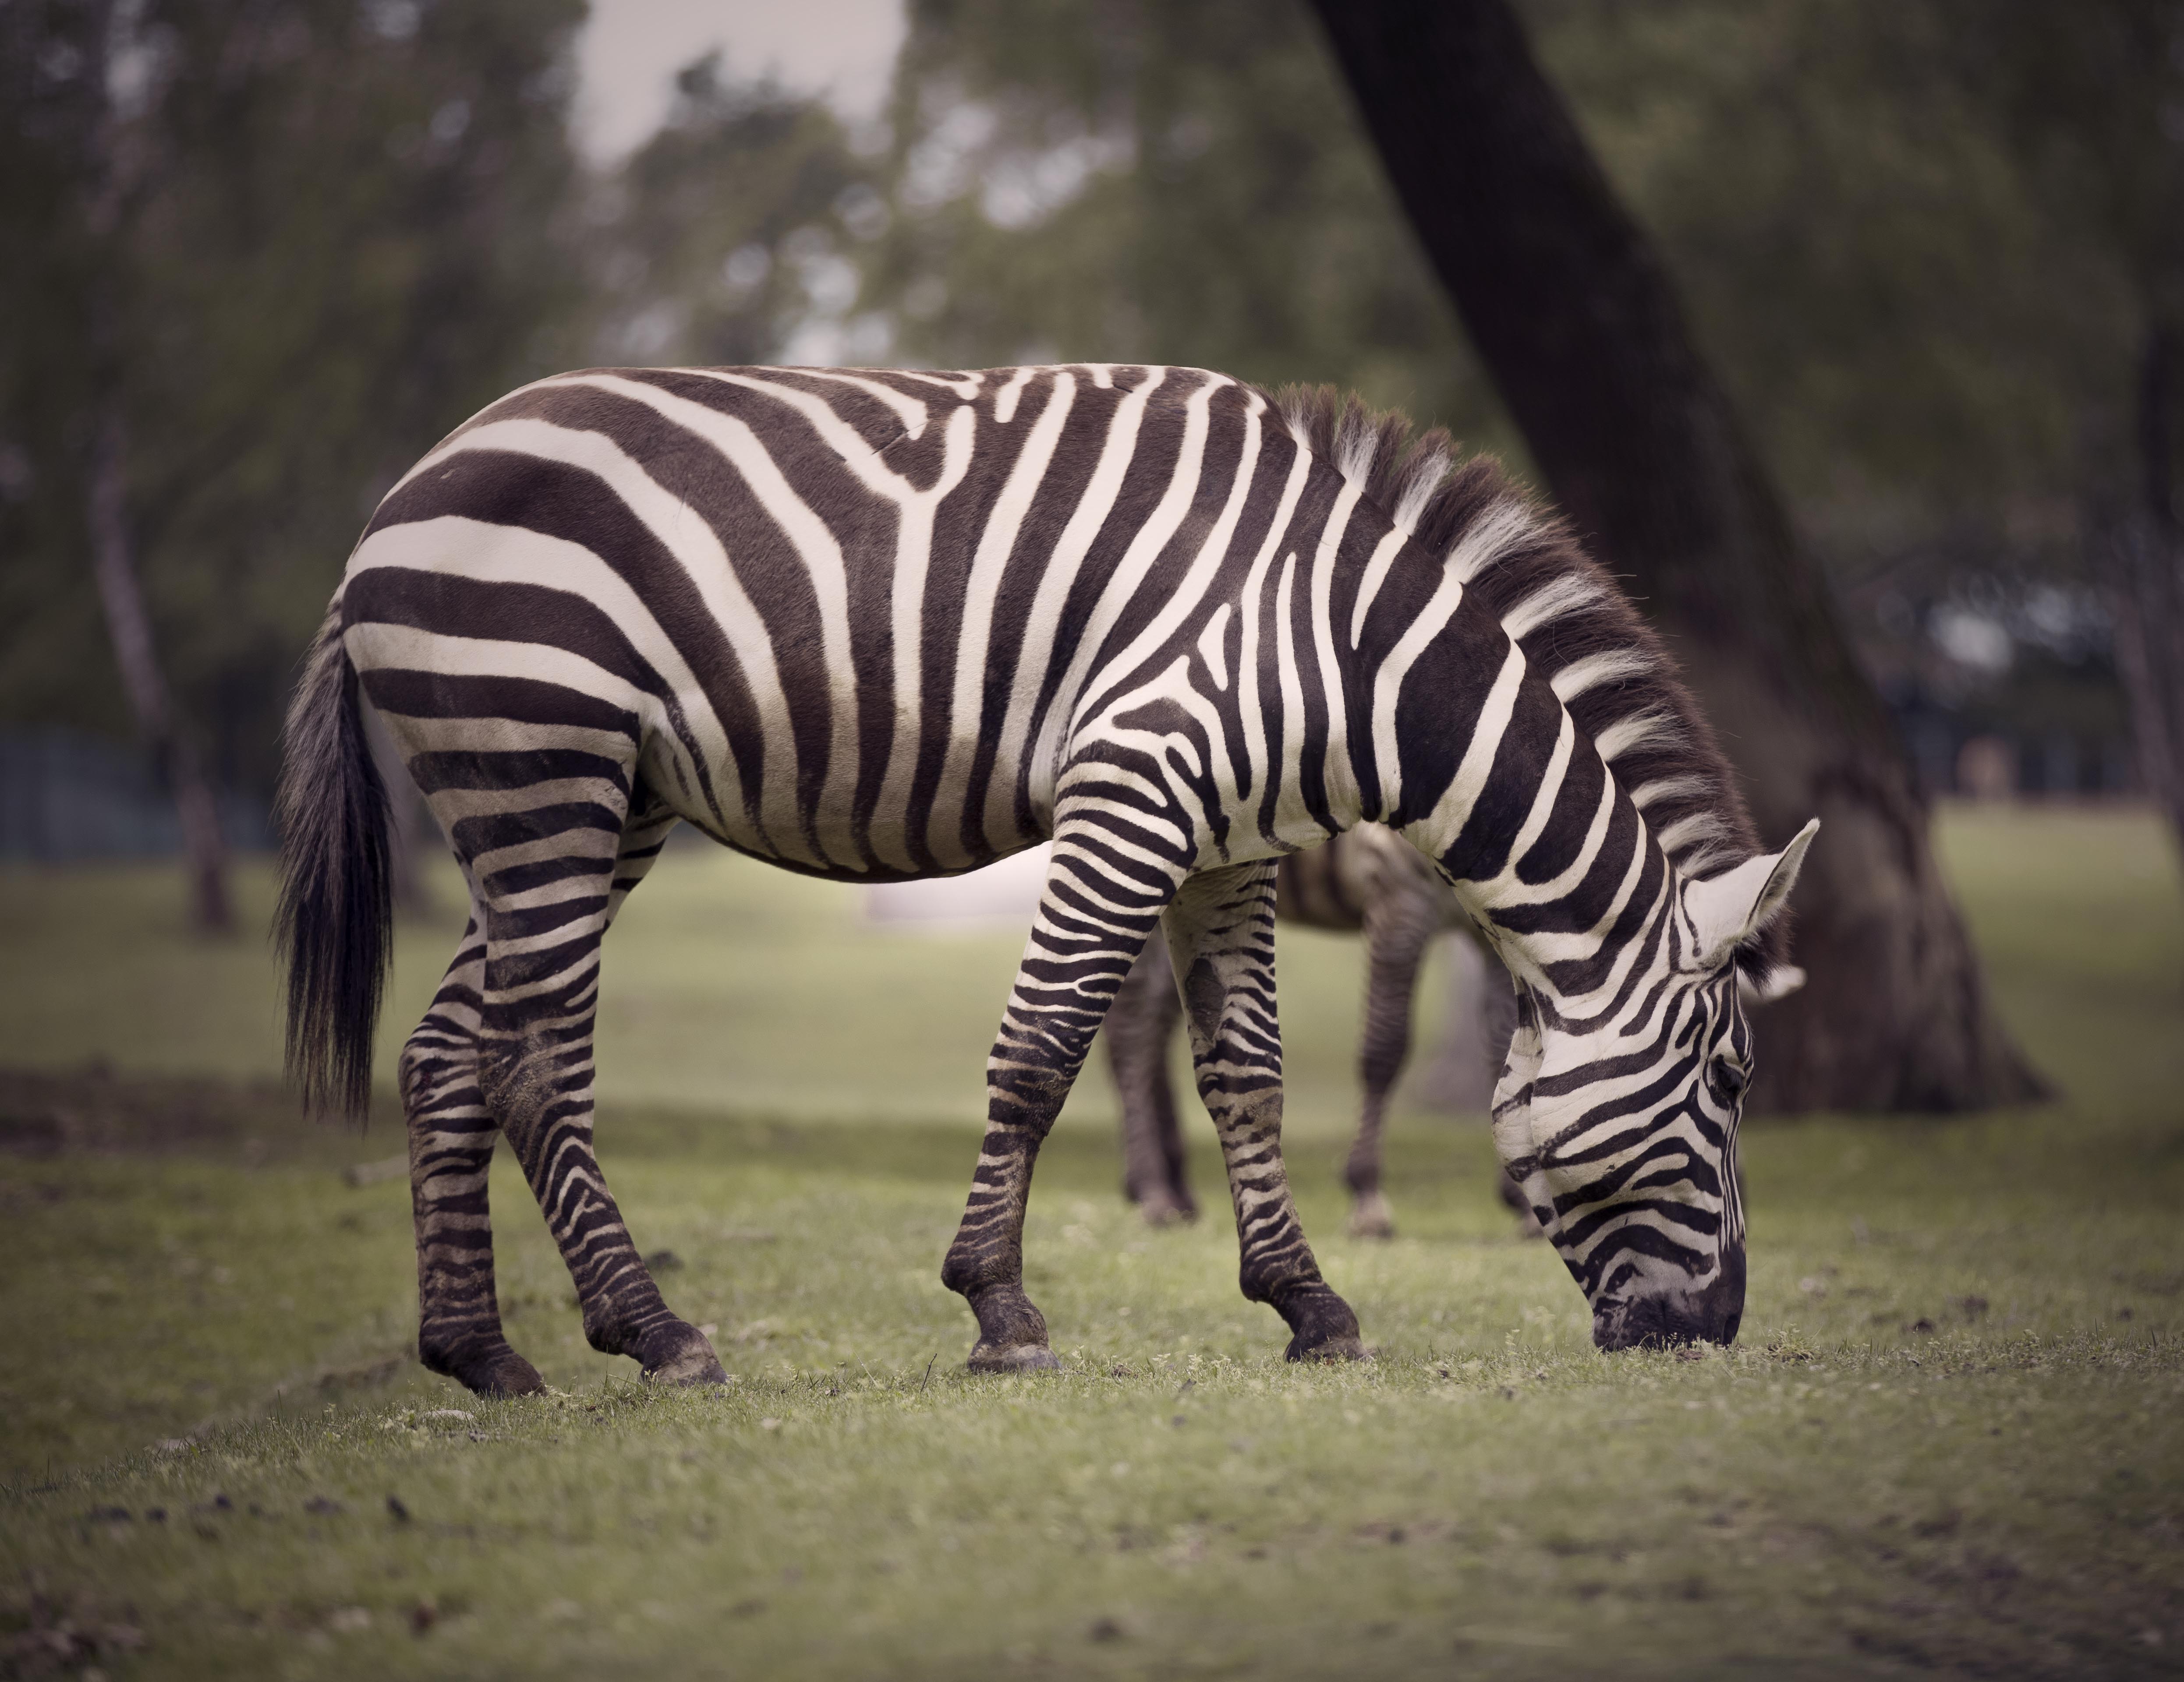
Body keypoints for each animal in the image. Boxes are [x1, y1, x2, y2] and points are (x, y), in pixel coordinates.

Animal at [286, 358, 1826, 1389]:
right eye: (1731, 1082)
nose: (1717, 1331)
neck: (1350, 652)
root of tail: (398, 493)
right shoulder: (1133, 788)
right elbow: (1039, 1048)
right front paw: (998, 1310)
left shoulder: (1229, 849)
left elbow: (1247, 1072)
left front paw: (1308, 1303)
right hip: (540, 764)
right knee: (536, 1060)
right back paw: (652, 1332)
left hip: (589, 802)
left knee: (447, 1052)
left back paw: (480, 1353)